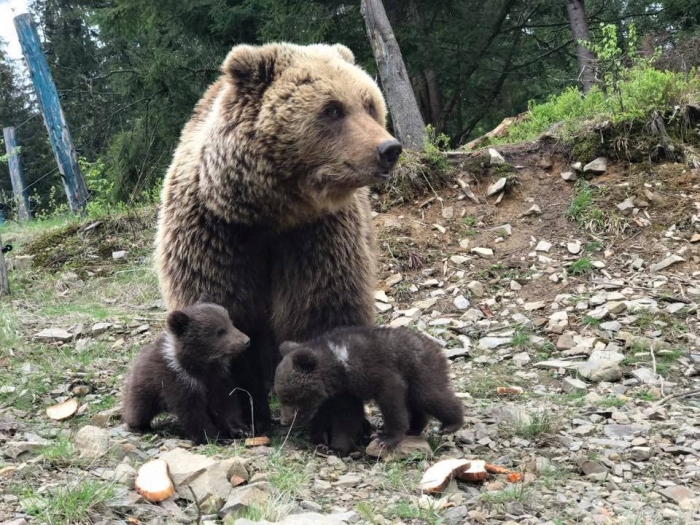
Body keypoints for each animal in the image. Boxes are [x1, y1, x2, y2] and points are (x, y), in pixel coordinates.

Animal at [155, 43, 402, 432]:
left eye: (369, 104)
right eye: (332, 108)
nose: (389, 149)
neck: (270, 211)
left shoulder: (317, 236)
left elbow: (322, 308)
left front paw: (336, 421)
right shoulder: (217, 234)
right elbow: (227, 313)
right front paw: (244, 414)